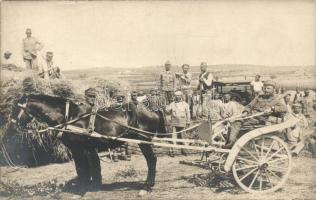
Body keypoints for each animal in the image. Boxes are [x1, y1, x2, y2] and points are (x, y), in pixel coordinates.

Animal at [14, 94, 168, 194]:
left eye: (15, 108)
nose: (13, 124)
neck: (69, 117)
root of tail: (153, 110)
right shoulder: (78, 149)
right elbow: (84, 167)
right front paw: (90, 185)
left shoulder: (80, 148)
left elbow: (83, 168)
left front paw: (83, 189)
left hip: (144, 141)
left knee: (152, 160)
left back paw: (148, 185)